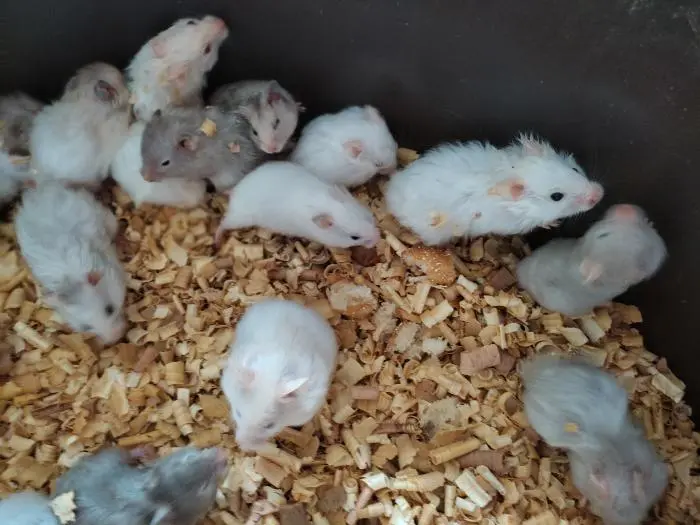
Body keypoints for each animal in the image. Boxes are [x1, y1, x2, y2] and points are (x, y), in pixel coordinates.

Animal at [14, 184, 126, 344]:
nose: (116, 338)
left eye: (110, 309)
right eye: (86, 327)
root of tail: (37, 190)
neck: (70, 280)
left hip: (104, 216)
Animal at [55, 446, 227, 525]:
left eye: (189, 458)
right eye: (204, 487)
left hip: (109, 457)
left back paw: (143, 451)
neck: (149, 497)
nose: (222, 451)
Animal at [215, 161, 380, 249]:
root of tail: (236, 191)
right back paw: (216, 241)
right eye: (354, 237)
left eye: (368, 217)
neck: (325, 204)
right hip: (240, 217)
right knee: (223, 223)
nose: (377, 237)